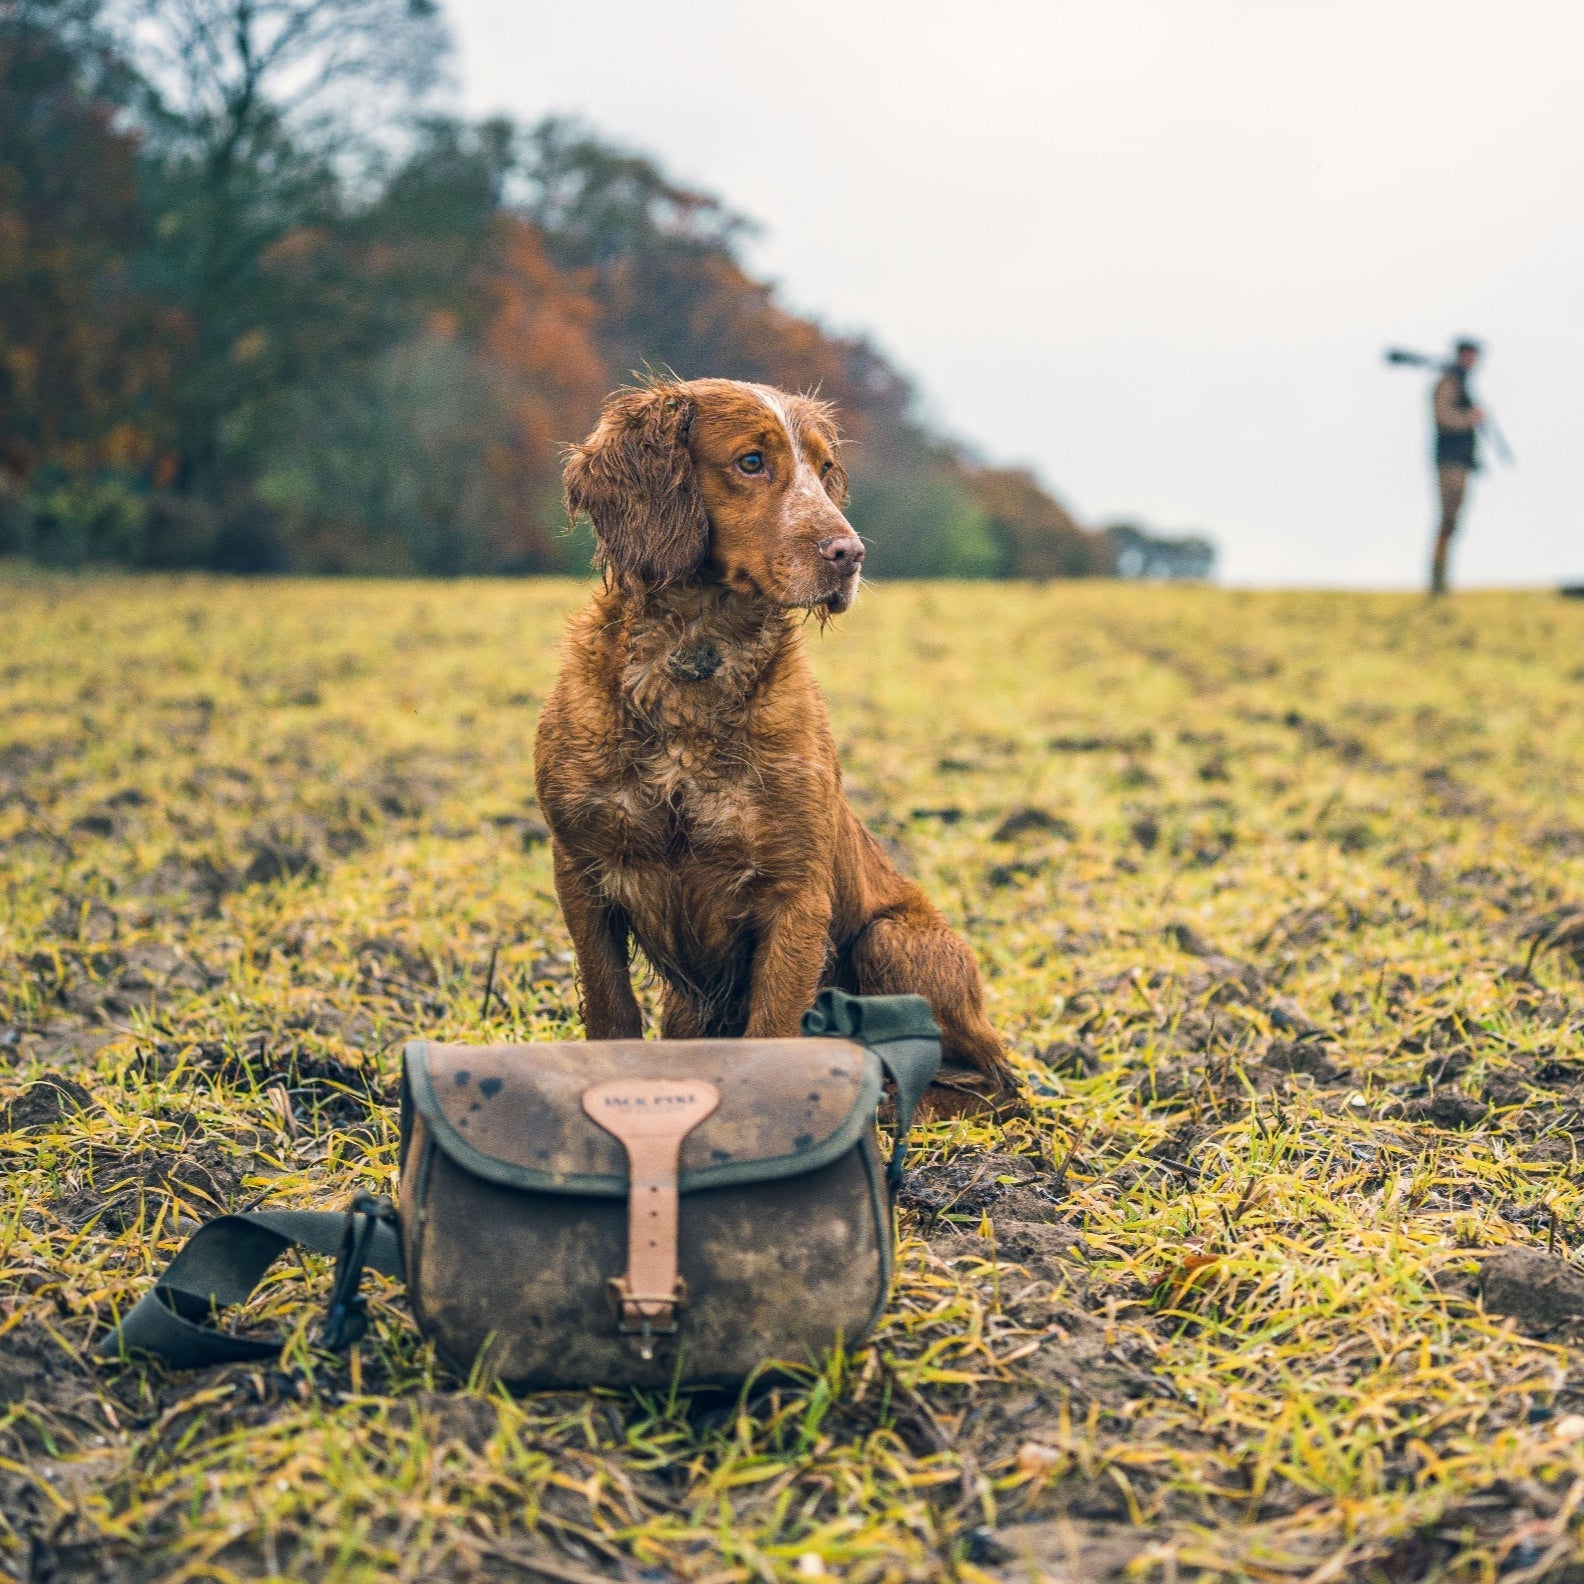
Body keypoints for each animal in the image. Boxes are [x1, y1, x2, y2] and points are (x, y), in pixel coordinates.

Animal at [535, 381, 1013, 1102]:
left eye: (823, 467)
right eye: (752, 461)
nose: (851, 554)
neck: (694, 664)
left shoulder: (796, 893)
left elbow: (771, 1033)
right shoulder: (582, 871)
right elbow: (611, 1008)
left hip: (891, 939)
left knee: (988, 1077)